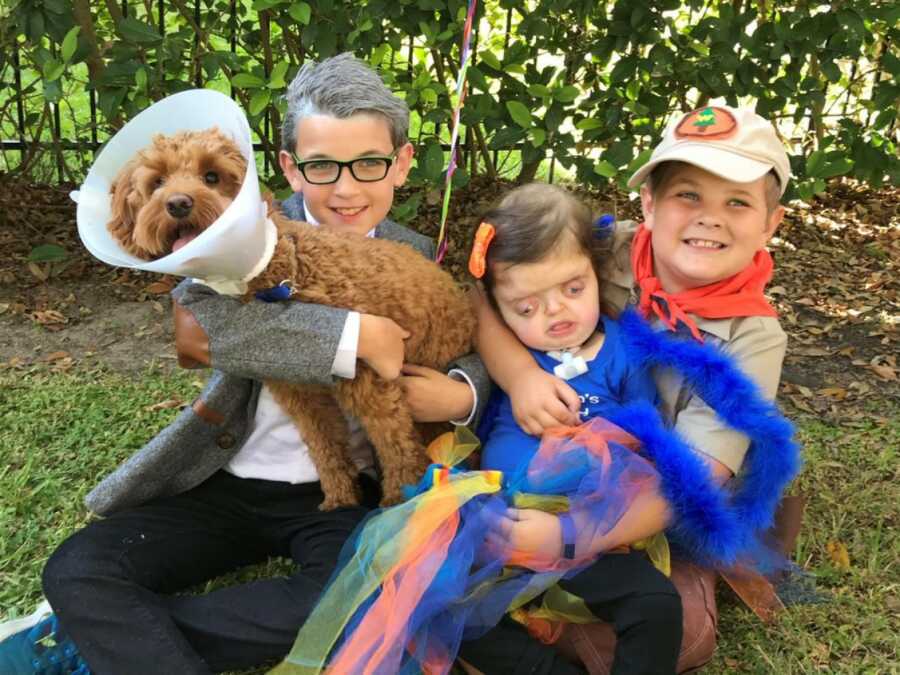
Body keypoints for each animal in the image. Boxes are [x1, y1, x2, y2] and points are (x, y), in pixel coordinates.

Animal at [105, 128, 474, 508]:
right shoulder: (301, 393)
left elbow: (398, 449)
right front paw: (340, 500)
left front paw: (396, 504)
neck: (289, 269)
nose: (178, 203)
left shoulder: (373, 386)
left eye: (212, 176)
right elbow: (325, 447)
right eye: (157, 182)